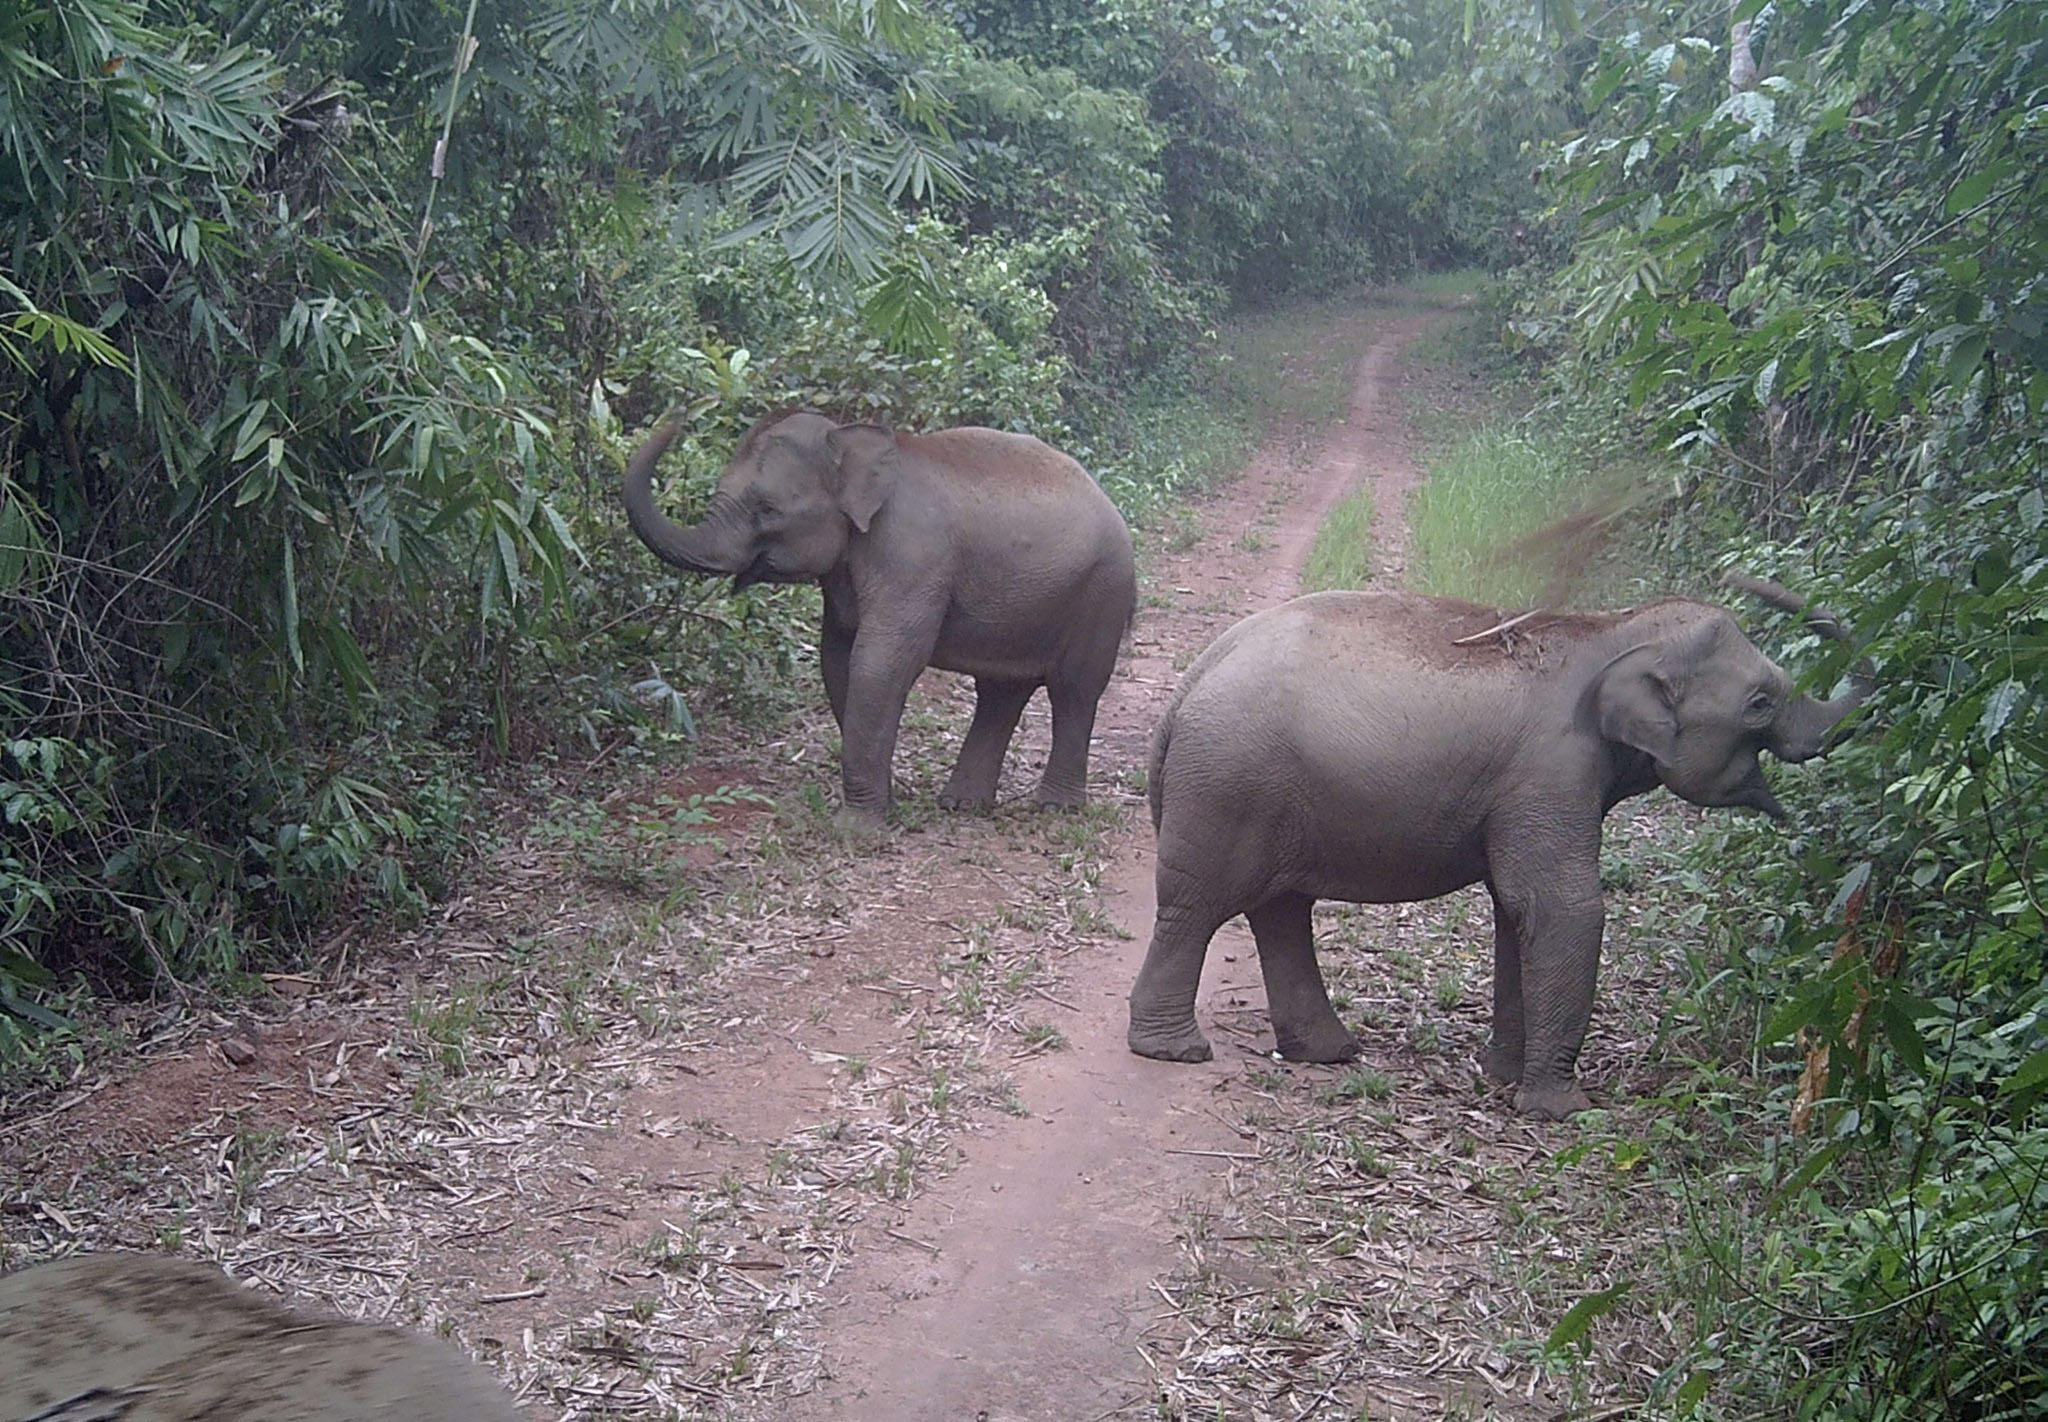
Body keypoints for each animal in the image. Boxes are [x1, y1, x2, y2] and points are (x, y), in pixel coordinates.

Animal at [622, 409, 1138, 835]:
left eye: (766, 509)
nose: (674, 421)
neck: (849, 439)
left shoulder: (912, 558)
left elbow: (882, 662)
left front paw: (855, 829)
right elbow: (838, 659)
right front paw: (884, 805)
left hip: (1102, 593)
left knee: (1074, 689)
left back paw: (1055, 810)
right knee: (999, 692)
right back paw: (962, 805)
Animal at [1130, 573, 1867, 1122]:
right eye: (1761, 702)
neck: (1610, 629)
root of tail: (1187, 685)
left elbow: (1516, 912)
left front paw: (1503, 1074)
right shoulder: (1553, 770)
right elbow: (1562, 907)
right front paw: (1561, 1111)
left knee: (1281, 910)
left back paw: (1329, 1052)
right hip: (1227, 787)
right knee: (1197, 908)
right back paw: (1175, 1051)